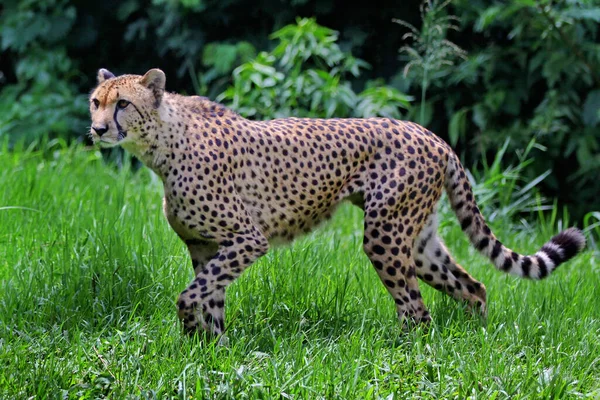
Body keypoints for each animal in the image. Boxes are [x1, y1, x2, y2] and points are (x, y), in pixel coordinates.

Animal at [89, 68, 584, 338]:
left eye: (123, 104)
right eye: (96, 102)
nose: (96, 129)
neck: (162, 144)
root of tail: (433, 136)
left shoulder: (247, 240)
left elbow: (190, 294)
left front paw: (194, 338)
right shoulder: (204, 246)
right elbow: (210, 297)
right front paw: (211, 353)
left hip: (384, 235)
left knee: (416, 309)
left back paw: (404, 358)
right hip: (419, 241)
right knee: (473, 286)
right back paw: (475, 342)